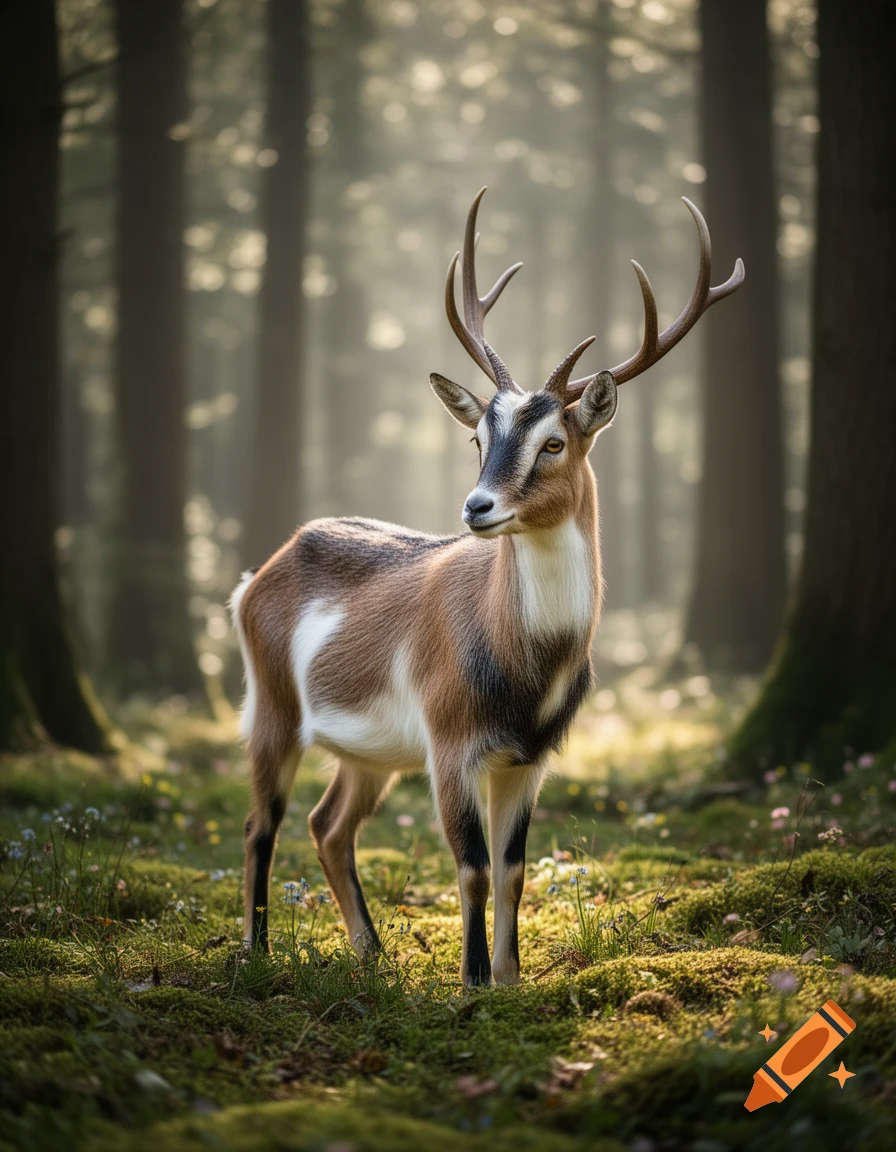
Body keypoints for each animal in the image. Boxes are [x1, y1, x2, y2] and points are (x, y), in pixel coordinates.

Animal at [231, 188, 744, 985]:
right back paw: (255, 950)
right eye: (480, 438)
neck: (521, 674)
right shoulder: (449, 736)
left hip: (370, 751)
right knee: (263, 823)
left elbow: (514, 870)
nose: (477, 507)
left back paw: (371, 953)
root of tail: (254, 579)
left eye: (554, 442)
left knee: (328, 824)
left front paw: (510, 978)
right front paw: (471, 982)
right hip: (270, 702)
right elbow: (470, 867)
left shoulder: (531, 756)